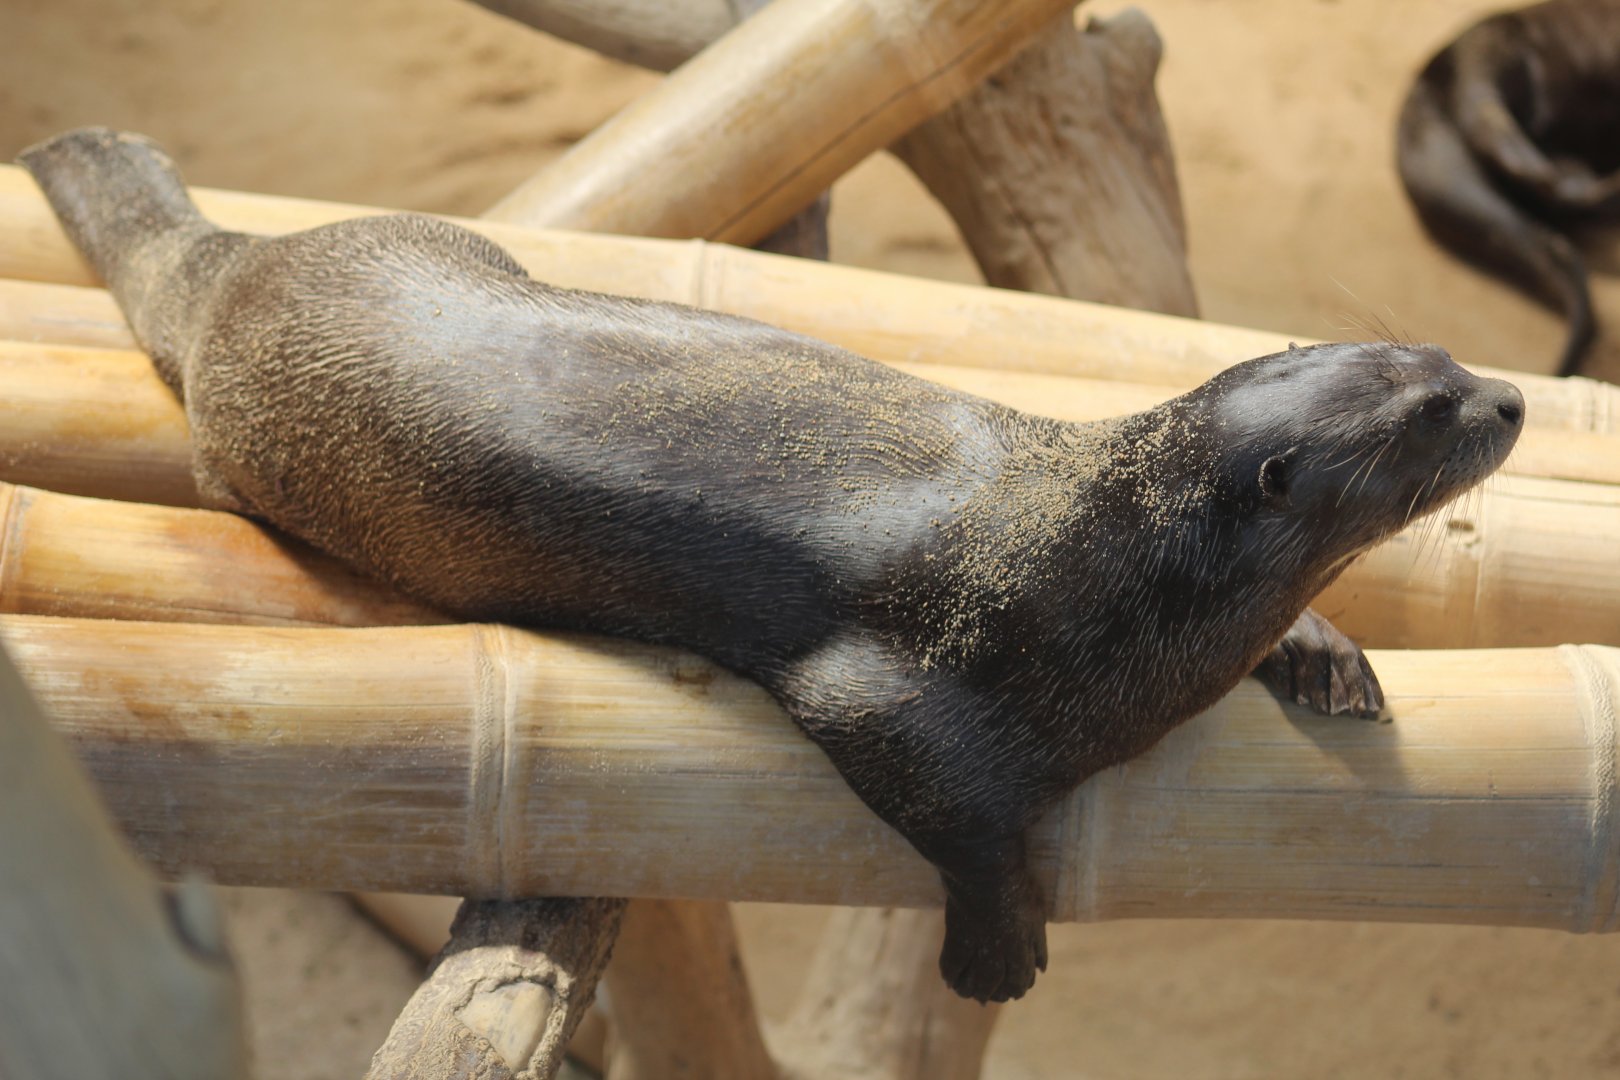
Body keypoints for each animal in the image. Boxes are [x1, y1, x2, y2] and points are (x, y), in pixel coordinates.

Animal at [20, 129, 1525, 1002]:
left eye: (1443, 354)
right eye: (1425, 415)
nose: (1510, 397)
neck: (1096, 562)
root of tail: (238, 271)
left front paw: (1327, 654)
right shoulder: (895, 674)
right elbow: (950, 801)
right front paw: (998, 945)